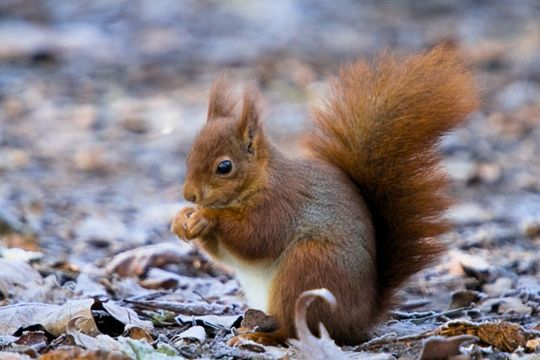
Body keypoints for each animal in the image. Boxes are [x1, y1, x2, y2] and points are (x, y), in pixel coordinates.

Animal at [171, 45, 478, 346]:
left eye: (224, 167)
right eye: (189, 156)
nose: (190, 195)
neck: (257, 182)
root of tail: (361, 318)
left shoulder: (281, 204)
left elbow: (256, 238)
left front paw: (208, 217)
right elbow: (224, 256)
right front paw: (181, 219)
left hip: (308, 268)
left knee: (294, 328)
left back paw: (261, 335)